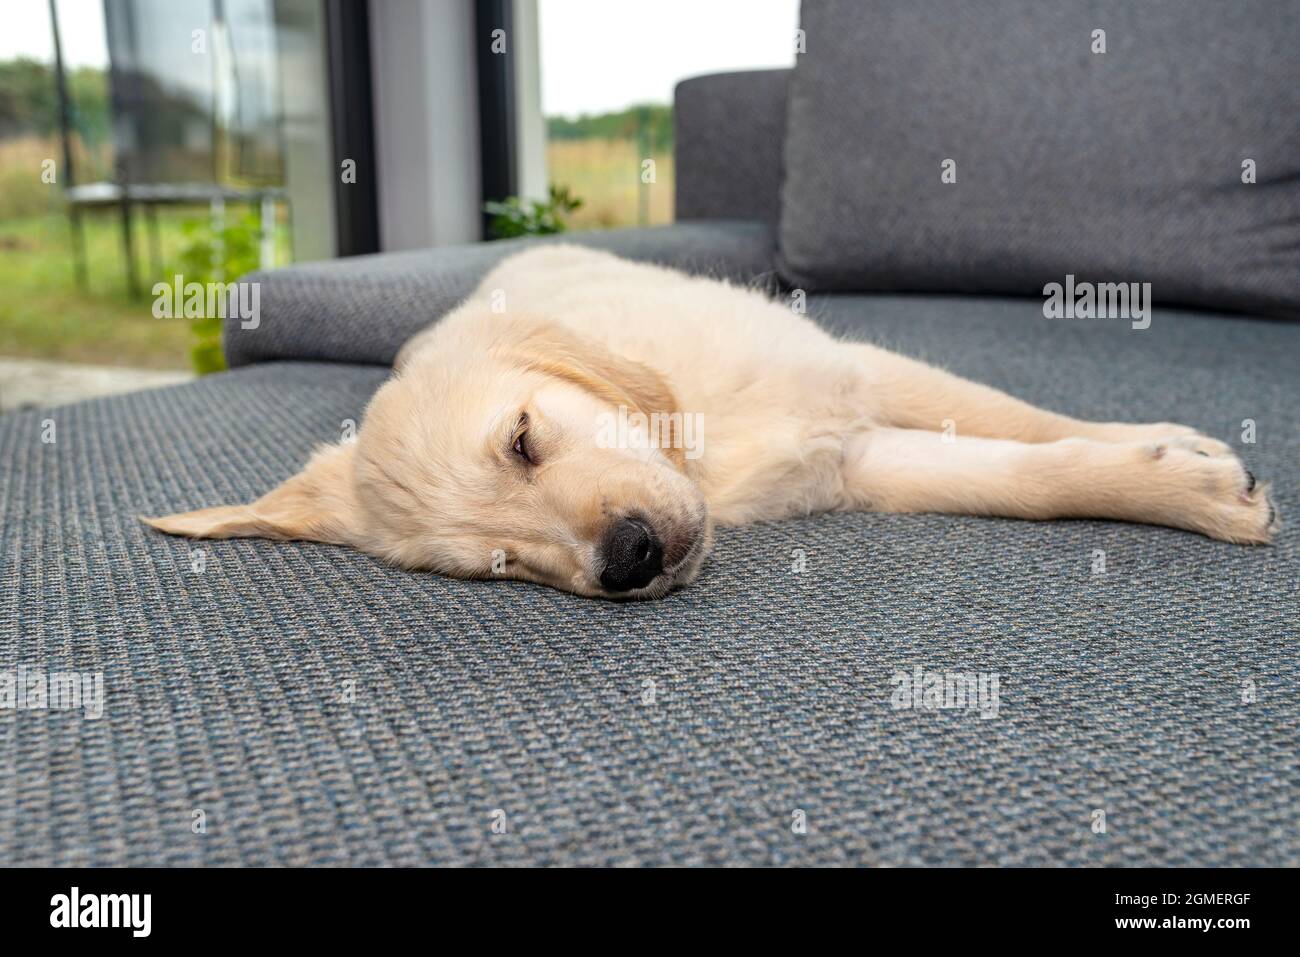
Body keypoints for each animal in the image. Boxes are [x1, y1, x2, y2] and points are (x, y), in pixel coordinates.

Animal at [144, 244, 1279, 598]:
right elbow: (1033, 481)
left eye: (523, 439)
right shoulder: (858, 460)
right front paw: (1182, 482)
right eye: (498, 568)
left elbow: (1028, 420)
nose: (629, 559)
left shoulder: (852, 374)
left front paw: (1177, 450)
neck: (700, 448)